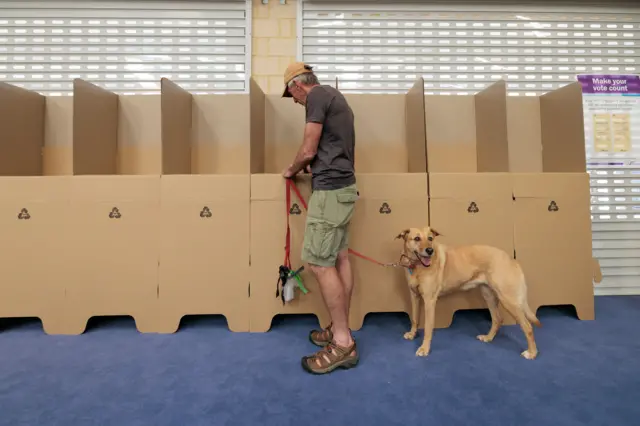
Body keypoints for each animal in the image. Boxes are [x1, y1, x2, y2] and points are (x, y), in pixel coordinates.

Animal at [396, 226, 540, 360]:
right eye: (417, 238)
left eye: (430, 238)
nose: (430, 251)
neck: (416, 267)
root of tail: (511, 258)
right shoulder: (414, 297)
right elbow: (415, 318)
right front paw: (412, 334)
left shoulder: (429, 301)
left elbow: (427, 328)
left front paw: (424, 348)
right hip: (489, 296)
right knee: (497, 319)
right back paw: (488, 338)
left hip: (508, 300)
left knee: (528, 327)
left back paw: (532, 353)